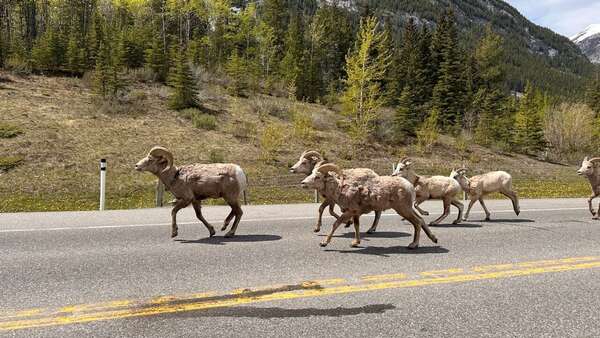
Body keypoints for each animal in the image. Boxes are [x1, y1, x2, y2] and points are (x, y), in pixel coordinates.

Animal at [300, 162, 436, 250]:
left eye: (317, 177)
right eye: (311, 174)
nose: (303, 183)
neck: (341, 189)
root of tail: (409, 186)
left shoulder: (349, 211)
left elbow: (336, 224)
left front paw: (324, 243)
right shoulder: (356, 213)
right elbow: (356, 226)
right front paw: (355, 243)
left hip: (403, 209)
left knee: (417, 222)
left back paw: (413, 245)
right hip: (407, 208)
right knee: (421, 219)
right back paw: (434, 239)